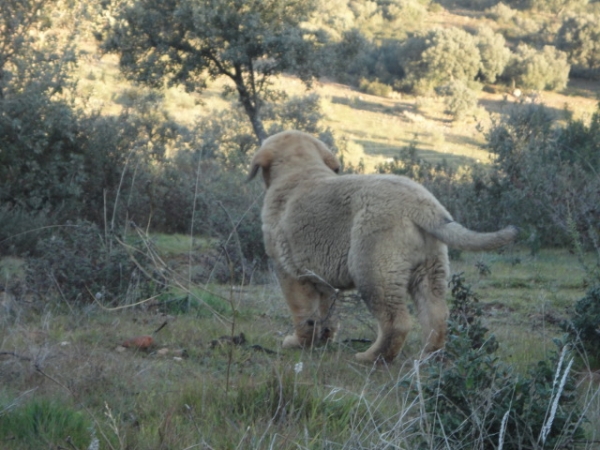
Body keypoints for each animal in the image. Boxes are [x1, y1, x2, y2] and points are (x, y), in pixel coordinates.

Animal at [246, 129, 516, 362]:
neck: (299, 170)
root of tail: (422, 204)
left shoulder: (290, 273)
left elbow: (304, 314)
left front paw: (299, 343)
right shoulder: (322, 279)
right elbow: (326, 312)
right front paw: (323, 339)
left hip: (373, 268)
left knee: (396, 322)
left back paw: (372, 358)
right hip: (430, 267)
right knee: (436, 315)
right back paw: (428, 357)